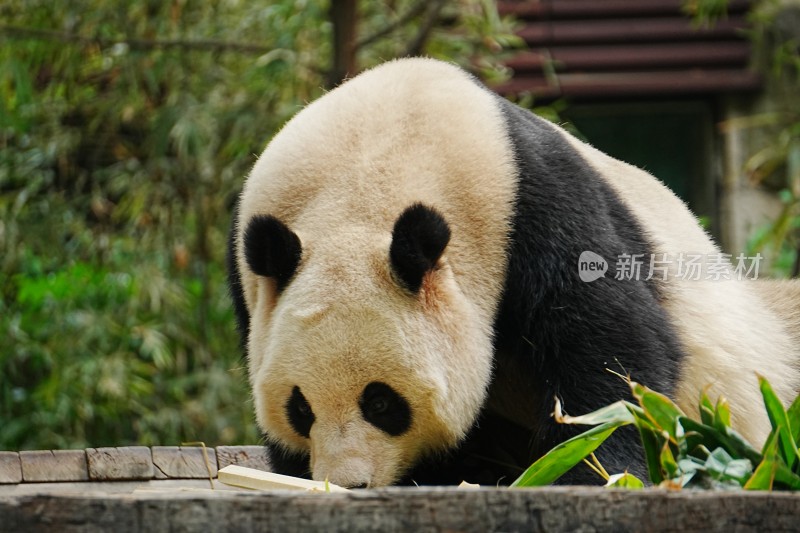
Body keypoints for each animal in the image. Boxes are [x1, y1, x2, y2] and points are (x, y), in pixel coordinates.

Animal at [227, 57, 800, 486]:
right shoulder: (251, 259)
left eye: (382, 402)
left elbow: (613, 349)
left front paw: (590, 469)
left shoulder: (534, 204)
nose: (351, 483)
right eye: (300, 408)